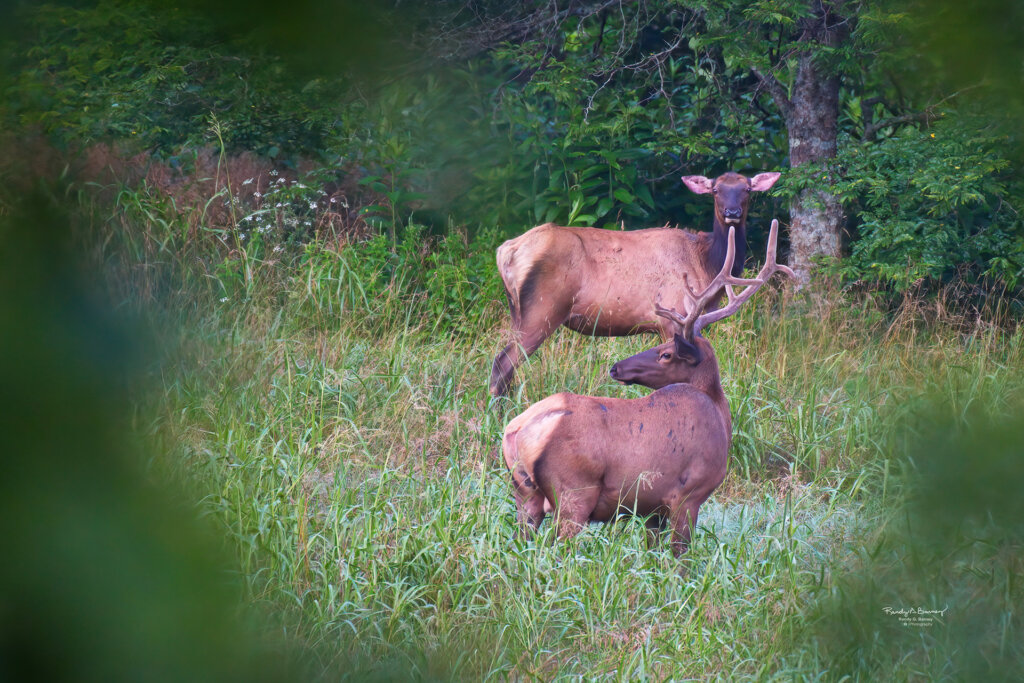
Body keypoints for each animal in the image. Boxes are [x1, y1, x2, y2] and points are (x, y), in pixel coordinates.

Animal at [489, 168, 782, 397]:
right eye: (716, 190)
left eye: (746, 189)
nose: (732, 212)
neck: (705, 263)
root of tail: (506, 250)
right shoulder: (672, 317)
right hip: (543, 308)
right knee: (503, 362)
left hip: (517, 310)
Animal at [499, 219, 794, 557]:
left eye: (665, 353)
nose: (616, 367)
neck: (719, 414)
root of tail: (517, 432)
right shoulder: (688, 494)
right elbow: (680, 558)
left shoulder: (652, 508)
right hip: (575, 492)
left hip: (524, 493)